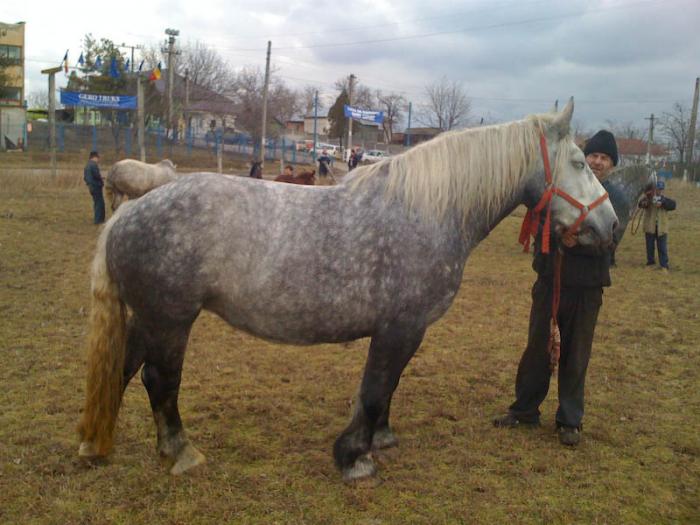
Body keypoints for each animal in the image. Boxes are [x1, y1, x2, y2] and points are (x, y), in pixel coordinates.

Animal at [78, 98, 616, 478]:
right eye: (579, 162)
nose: (609, 225)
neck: (428, 211)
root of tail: (131, 210)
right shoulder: (400, 327)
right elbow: (376, 388)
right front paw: (355, 457)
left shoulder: (403, 331)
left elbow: (385, 386)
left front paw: (378, 440)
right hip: (170, 320)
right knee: (159, 381)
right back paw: (181, 452)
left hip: (149, 319)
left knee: (124, 368)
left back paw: (93, 441)